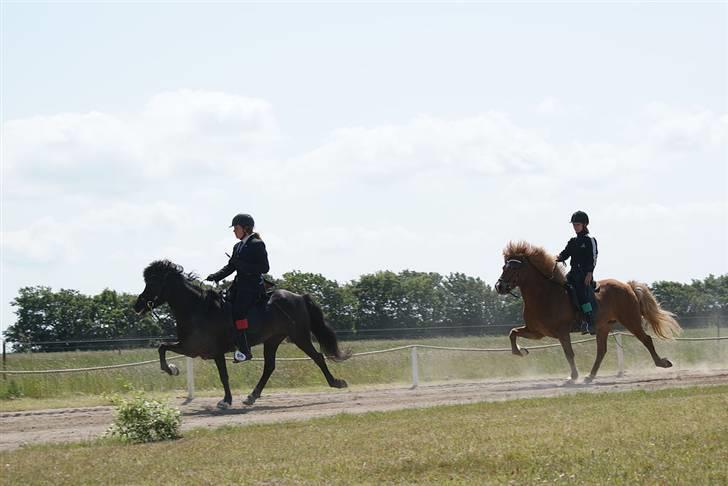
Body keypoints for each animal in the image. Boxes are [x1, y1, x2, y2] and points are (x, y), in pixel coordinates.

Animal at [138, 260, 354, 408]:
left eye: (153, 282)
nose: (137, 305)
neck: (197, 308)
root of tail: (299, 296)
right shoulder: (193, 348)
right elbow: (162, 347)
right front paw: (172, 369)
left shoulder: (205, 350)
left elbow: (223, 376)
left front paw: (225, 401)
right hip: (272, 340)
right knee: (269, 367)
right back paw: (252, 396)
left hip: (299, 336)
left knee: (317, 357)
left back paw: (336, 382)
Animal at [494, 241, 684, 382]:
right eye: (504, 267)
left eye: (514, 268)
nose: (499, 286)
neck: (545, 294)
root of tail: (627, 286)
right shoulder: (537, 332)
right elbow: (512, 333)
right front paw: (521, 351)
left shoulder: (562, 332)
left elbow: (569, 353)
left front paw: (573, 376)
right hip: (604, 327)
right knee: (602, 351)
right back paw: (590, 376)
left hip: (631, 321)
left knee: (646, 339)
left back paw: (662, 363)